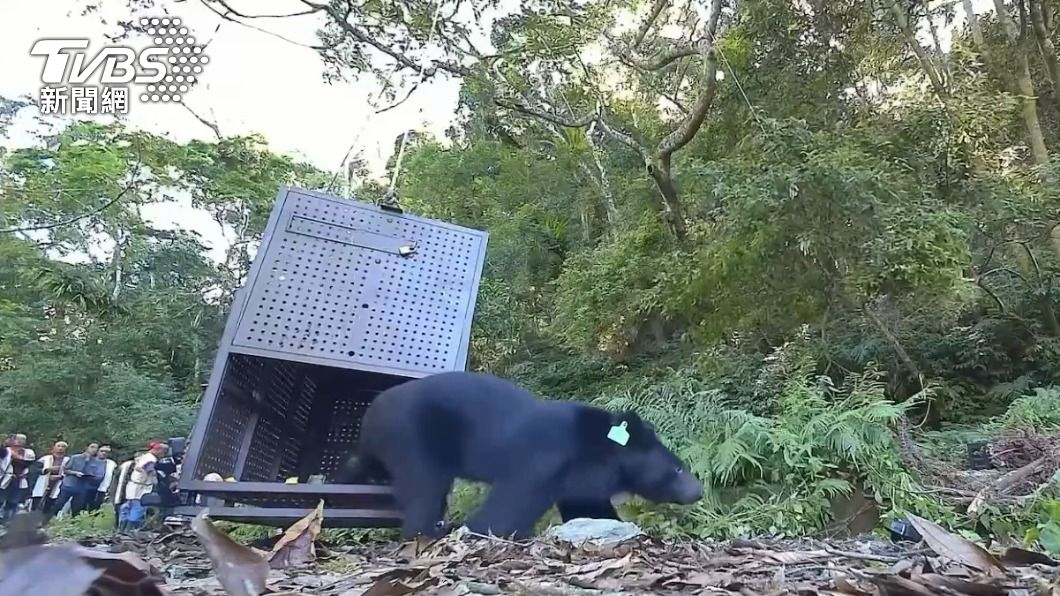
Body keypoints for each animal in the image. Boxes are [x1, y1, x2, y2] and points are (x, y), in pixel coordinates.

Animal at [336, 371, 704, 540]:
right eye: (678, 469)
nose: (699, 490)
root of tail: (371, 412)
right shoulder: (546, 460)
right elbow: (510, 505)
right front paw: (482, 529)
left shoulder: (582, 479)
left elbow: (587, 507)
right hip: (413, 435)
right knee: (424, 488)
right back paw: (427, 531)